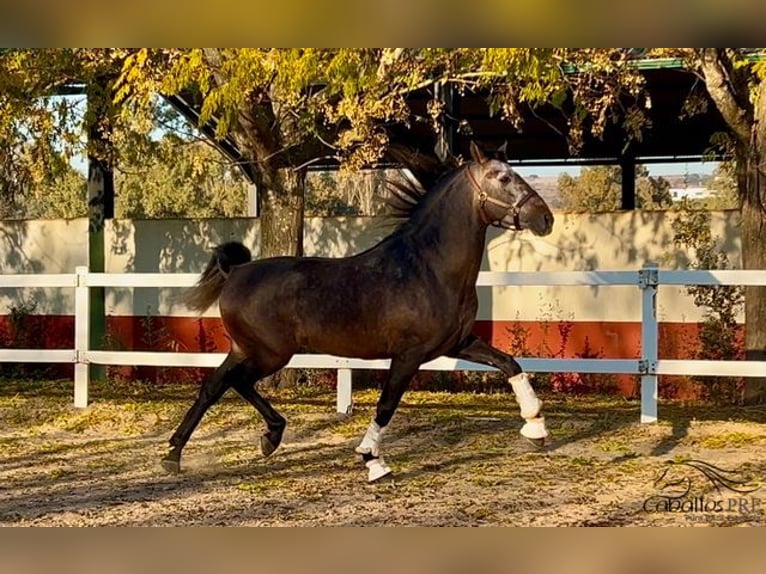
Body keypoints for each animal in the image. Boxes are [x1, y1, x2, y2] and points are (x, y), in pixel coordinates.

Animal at [165, 142, 556, 484]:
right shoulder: (409, 355)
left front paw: (536, 427)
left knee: (213, 386)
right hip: (270, 353)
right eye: (501, 177)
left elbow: (510, 364)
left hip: (245, 349)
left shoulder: (456, 343)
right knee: (236, 382)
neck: (429, 269)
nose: (545, 218)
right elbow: (386, 405)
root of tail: (236, 272)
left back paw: (176, 454)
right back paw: (266, 438)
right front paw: (373, 461)